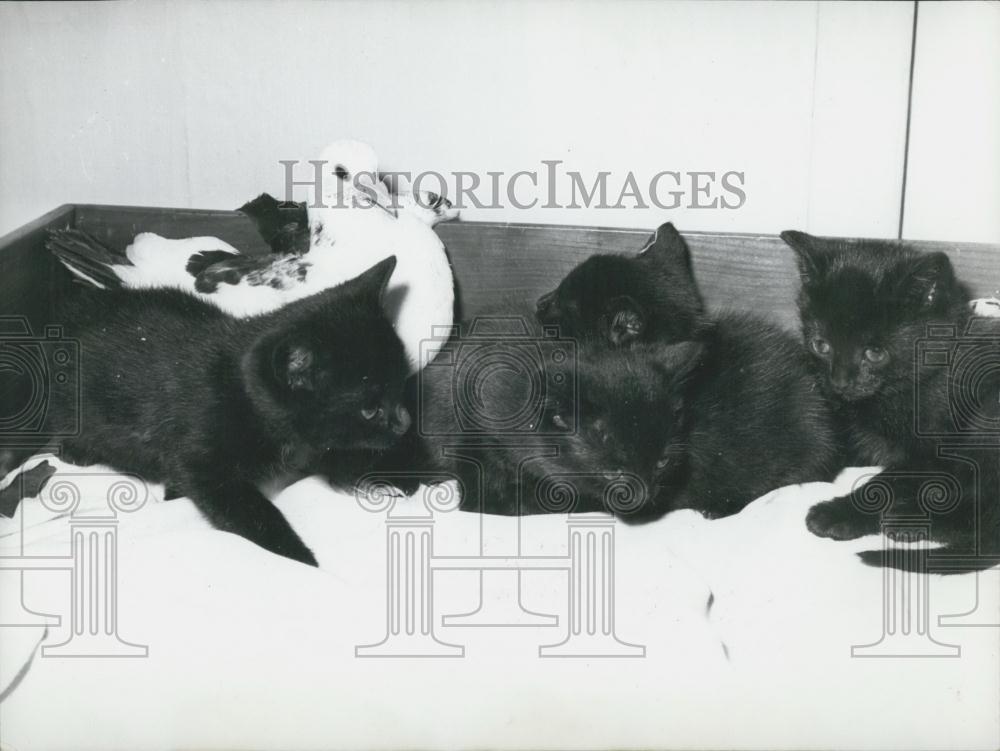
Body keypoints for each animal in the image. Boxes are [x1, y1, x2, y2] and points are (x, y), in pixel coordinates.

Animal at [0, 258, 408, 564]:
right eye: (369, 409)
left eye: (402, 381)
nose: (405, 424)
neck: (239, 389)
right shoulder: (201, 461)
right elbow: (250, 511)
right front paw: (302, 561)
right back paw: (75, 449)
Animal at [784, 232, 996, 572]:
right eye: (821, 345)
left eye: (875, 352)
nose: (839, 382)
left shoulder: (938, 455)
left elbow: (892, 480)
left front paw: (836, 514)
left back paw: (906, 520)